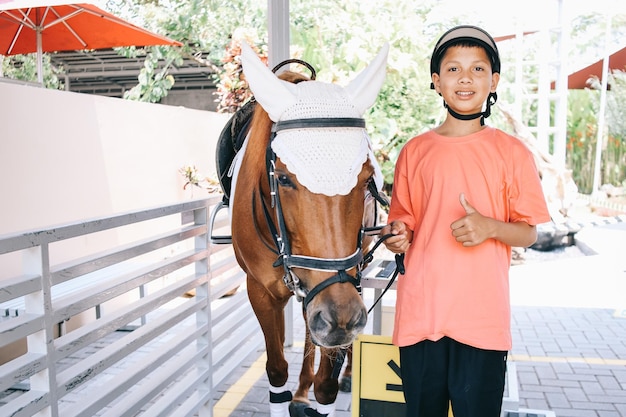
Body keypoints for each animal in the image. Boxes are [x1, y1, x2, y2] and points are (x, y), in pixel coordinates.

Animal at [229, 43, 386, 416]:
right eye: (284, 178)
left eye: (366, 179)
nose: (342, 317)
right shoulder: (261, 291)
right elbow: (276, 370)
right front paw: (292, 389)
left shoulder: (342, 289)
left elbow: (326, 386)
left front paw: (333, 380)